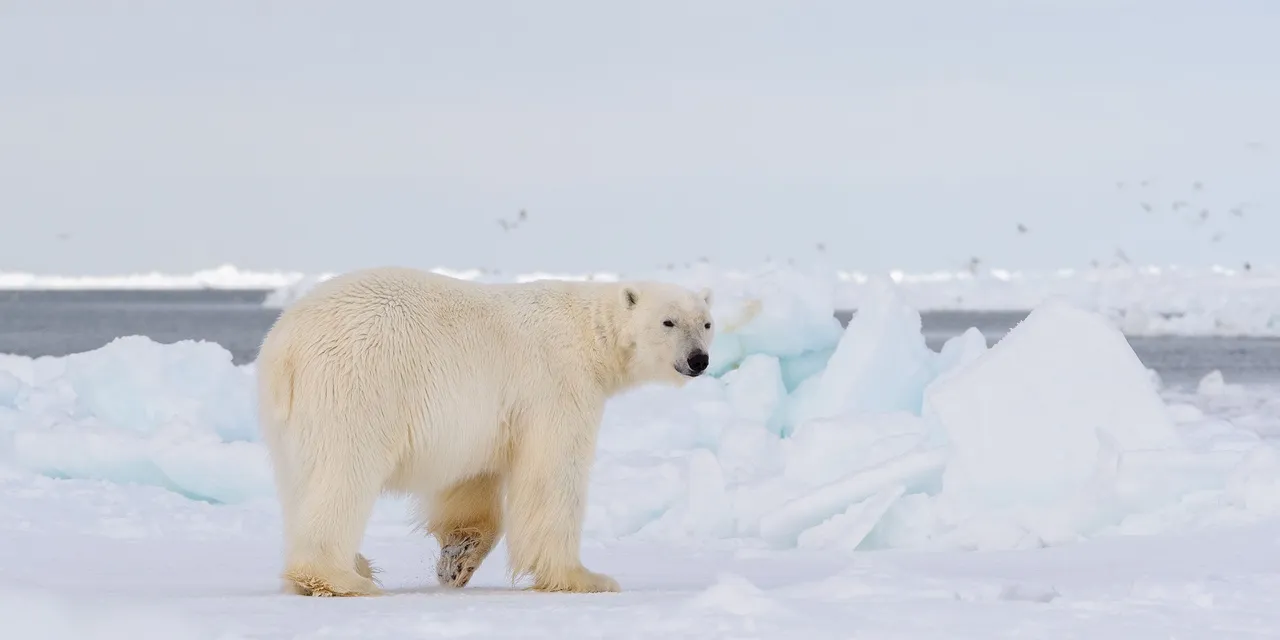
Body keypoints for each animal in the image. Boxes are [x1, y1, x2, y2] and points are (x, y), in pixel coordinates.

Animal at [254, 266, 715, 597]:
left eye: (706, 323)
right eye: (668, 322)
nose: (699, 360)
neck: (590, 334)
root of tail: (285, 345)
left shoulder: (489, 415)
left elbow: (472, 478)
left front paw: (457, 559)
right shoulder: (555, 384)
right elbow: (552, 475)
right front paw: (585, 577)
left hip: (288, 421)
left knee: (301, 482)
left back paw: (352, 565)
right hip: (357, 383)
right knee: (344, 472)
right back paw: (341, 577)